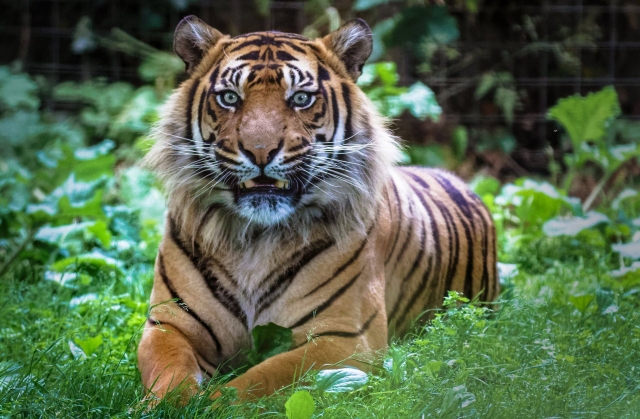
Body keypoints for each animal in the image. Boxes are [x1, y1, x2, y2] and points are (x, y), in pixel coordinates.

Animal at [139, 15, 499, 403]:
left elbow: (261, 378)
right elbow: (170, 373)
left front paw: (214, 403)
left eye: (300, 98)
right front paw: (174, 403)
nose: (260, 151)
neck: (254, 239)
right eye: (230, 97)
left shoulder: (343, 339)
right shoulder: (168, 324)